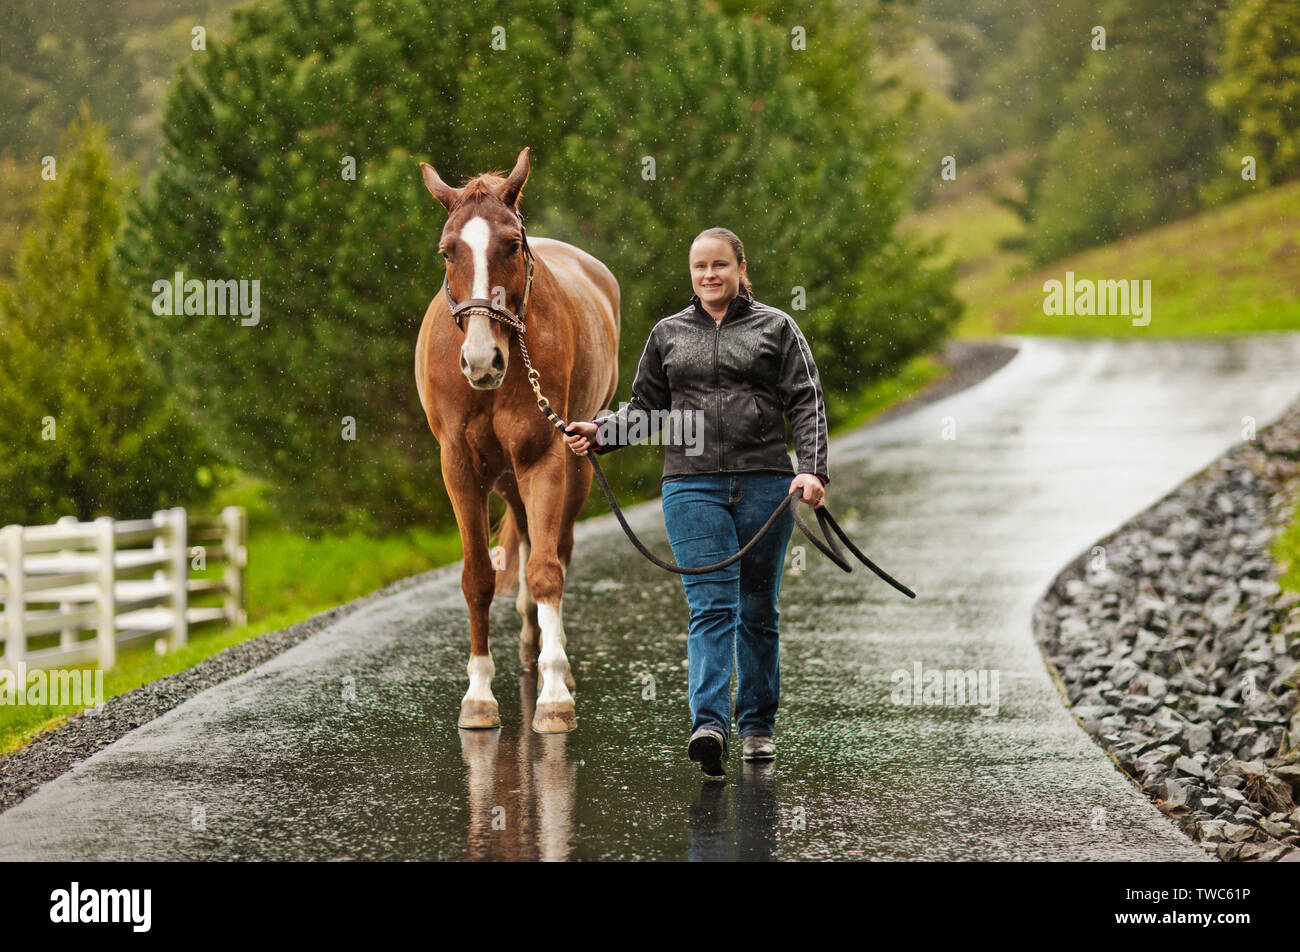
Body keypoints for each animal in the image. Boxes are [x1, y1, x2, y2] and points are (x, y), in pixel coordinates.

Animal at [415, 147, 620, 733]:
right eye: (447, 252)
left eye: (510, 244)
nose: (482, 361)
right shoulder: (460, 467)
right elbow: (478, 577)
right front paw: (479, 696)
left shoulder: (544, 457)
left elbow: (547, 570)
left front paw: (552, 697)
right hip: (505, 476)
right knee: (527, 535)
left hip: (573, 465)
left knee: (556, 548)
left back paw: (554, 659)